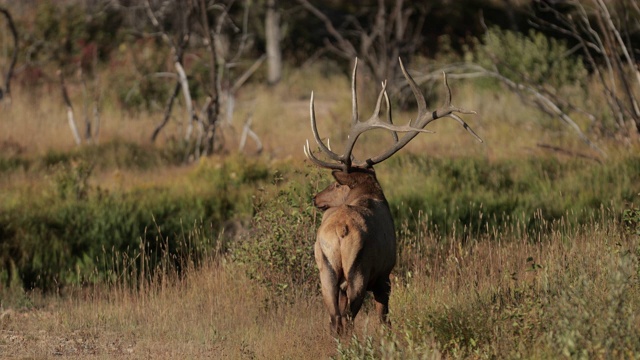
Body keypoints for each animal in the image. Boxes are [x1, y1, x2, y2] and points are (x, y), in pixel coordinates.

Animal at [304, 57, 480, 334]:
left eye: (334, 186)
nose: (316, 198)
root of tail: (340, 231)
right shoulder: (385, 274)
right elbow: (384, 318)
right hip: (360, 270)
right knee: (348, 317)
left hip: (326, 270)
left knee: (335, 319)